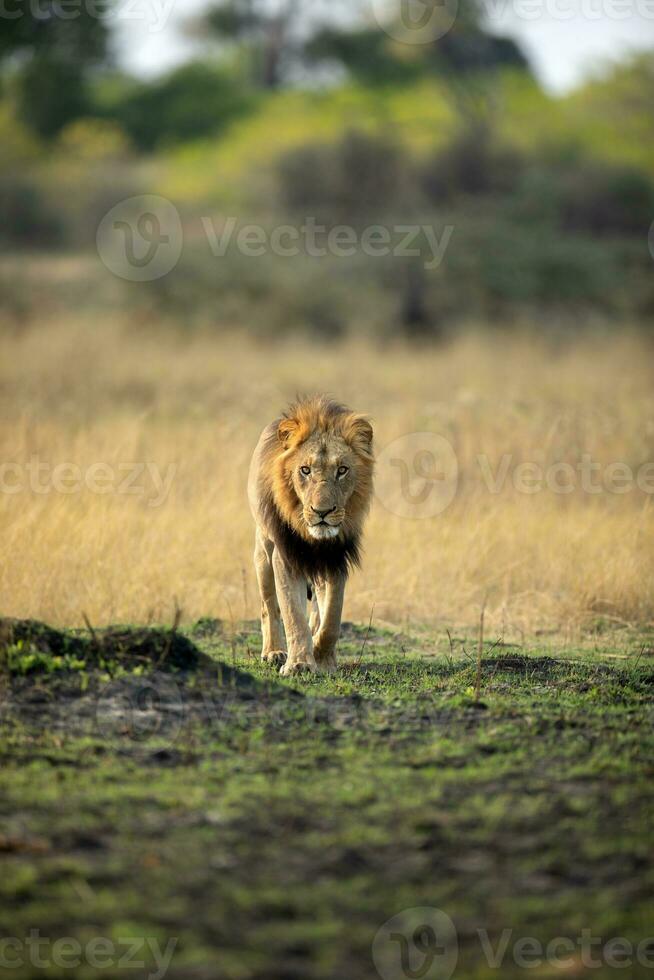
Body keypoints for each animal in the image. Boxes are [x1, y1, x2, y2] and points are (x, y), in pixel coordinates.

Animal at [250, 394, 374, 676]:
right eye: (305, 470)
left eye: (342, 470)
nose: (322, 512)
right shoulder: (286, 556)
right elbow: (292, 614)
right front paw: (299, 664)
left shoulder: (335, 558)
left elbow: (332, 619)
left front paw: (322, 656)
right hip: (263, 550)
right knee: (268, 605)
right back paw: (274, 652)